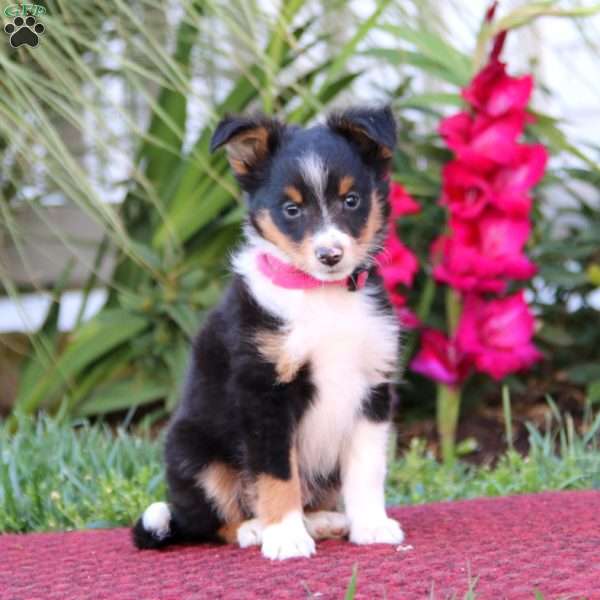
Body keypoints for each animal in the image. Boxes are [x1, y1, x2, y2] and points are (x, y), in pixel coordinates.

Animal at [131, 105, 404, 560]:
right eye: (291, 210)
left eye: (351, 200)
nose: (330, 255)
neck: (321, 294)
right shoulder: (264, 392)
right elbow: (277, 473)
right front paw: (286, 537)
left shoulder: (372, 387)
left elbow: (367, 469)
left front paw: (371, 526)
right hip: (195, 452)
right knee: (207, 521)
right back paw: (254, 529)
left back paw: (323, 521)